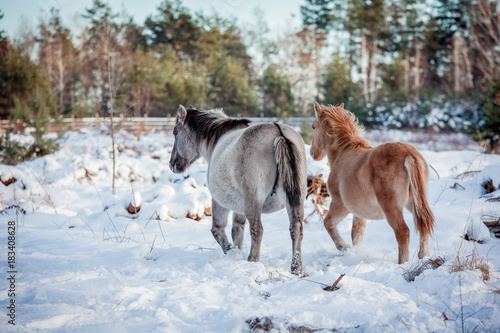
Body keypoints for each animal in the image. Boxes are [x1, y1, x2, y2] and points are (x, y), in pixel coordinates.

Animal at [170, 105, 306, 274]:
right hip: (294, 200)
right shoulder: (238, 207)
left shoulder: (219, 202)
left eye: (175, 133)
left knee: (257, 229)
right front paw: (237, 252)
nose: (173, 164)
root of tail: (278, 133)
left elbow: (218, 229)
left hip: (253, 202)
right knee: (296, 228)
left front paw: (231, 252)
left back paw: (252, 261)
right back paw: (296, 268)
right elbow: (237, 230)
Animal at [310, 102, 436, 264]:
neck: (342, 155)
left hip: (391, 207)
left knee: (402, 231)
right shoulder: (359, 212)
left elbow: (328, 223)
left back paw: (402, 263)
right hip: (413, 202)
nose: (313, 153)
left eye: (313, 127)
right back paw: (424, 257)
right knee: (423, 224)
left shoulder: (340, 205)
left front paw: (344, 247)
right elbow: (357, 234)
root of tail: (409, 156)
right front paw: (354, 253)